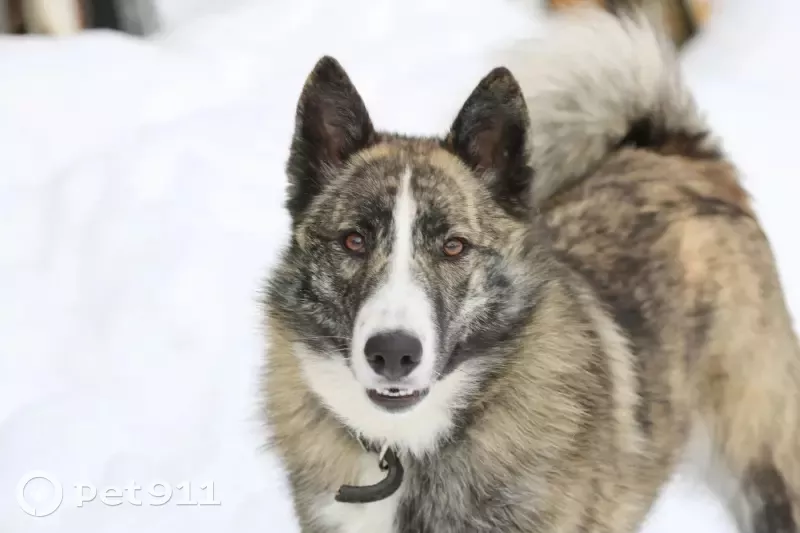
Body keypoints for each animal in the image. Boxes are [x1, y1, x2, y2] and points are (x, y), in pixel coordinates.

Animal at [260, 5, 792, 532]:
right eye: (353, 240)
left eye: (454, 247)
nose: (393, 353)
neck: (409, 449)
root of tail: (675, 153)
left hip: (763, 469)